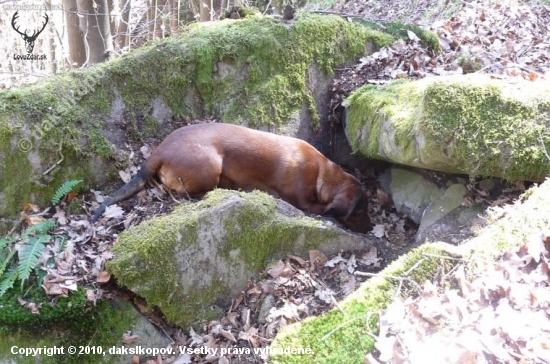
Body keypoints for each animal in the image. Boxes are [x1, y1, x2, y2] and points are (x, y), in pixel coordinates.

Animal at [92, 123, 374, 233]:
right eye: (360, 211)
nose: (372, 227)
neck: (322, 174)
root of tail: (158, 152)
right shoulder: (305, 203)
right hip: (211, 165)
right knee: (183, 192)